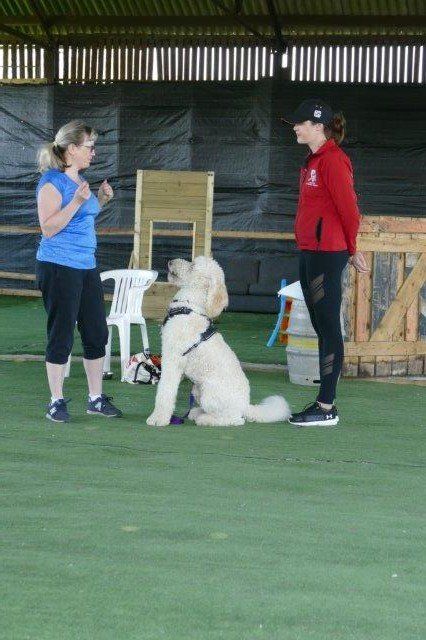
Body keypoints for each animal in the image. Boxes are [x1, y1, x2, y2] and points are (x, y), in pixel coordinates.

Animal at [146, 256, 291, 427]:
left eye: (193, 265)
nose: (170, 261)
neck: (189, 306)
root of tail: (245, 406)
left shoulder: (173, 359)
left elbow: (165, 391)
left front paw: (158, 418)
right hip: (197, 390)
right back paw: (196, 413)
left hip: (209, 393)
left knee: (234, 419)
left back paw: (204, 419)